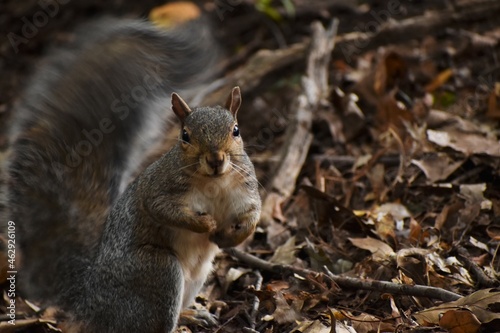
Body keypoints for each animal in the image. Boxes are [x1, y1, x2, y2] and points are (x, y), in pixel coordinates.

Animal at [5, 16, 262, 332]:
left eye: (236, 130)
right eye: (185, 136)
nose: (215, 159)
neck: (214, 182)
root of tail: (91, 301)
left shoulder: (245, 189)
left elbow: (253, 213)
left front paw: (234, 236)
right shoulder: (158, 188)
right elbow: (162, 209)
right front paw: (205, 224)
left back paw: (192, 314)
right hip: (158, 270)